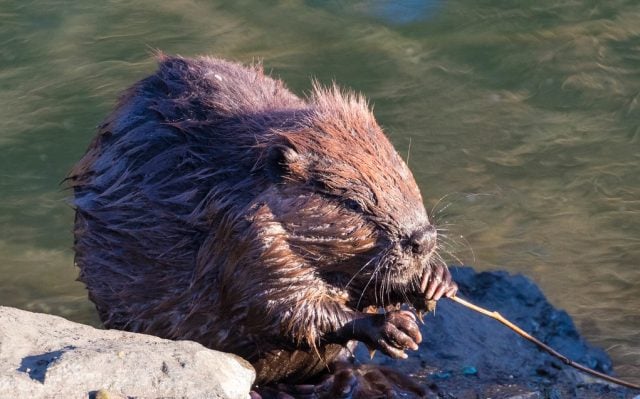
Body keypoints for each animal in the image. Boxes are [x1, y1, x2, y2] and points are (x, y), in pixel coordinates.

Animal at [70, 54, 458, 394]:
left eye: (403, 173)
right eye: (353, 202)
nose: (423, 238)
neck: (233, 178)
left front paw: (435, 280)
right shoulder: (245, 237)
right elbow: (283, 307)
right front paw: (393, 327)